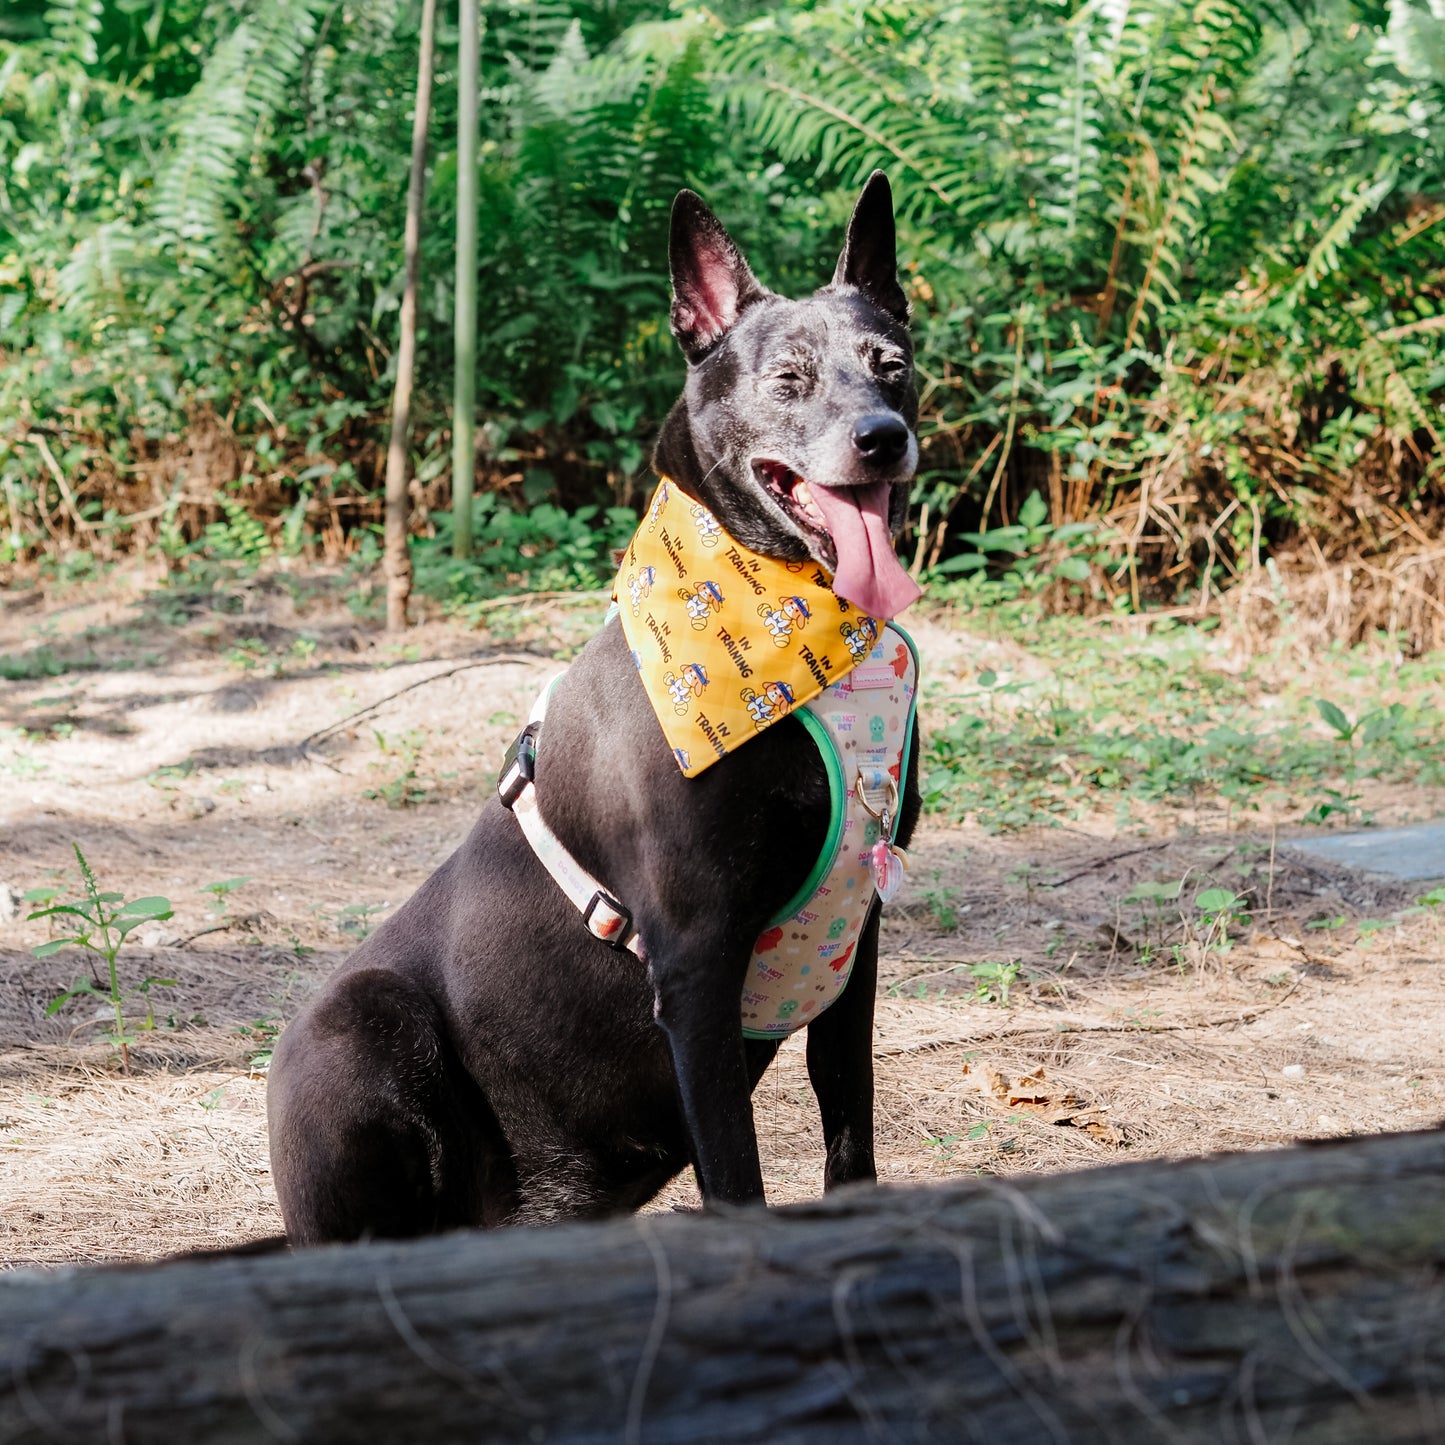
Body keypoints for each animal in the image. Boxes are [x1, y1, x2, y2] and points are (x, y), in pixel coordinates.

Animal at [268, 171, 924, 1242]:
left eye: (892, 367)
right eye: (787, 379)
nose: (881, 438)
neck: (799, 628)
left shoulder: (850, 951)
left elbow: (849, 1129)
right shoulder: (695, 962)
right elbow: (735, 1169)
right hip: (357, 1021)